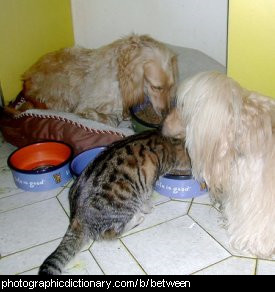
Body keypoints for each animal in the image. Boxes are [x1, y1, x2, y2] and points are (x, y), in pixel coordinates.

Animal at [38, 130, 190, 274]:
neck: (169, 143)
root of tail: (76, 217)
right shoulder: (149, 181)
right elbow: (146, 197)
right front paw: (148, 208)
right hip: (124, 204)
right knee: (112, 233)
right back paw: (137, 219)